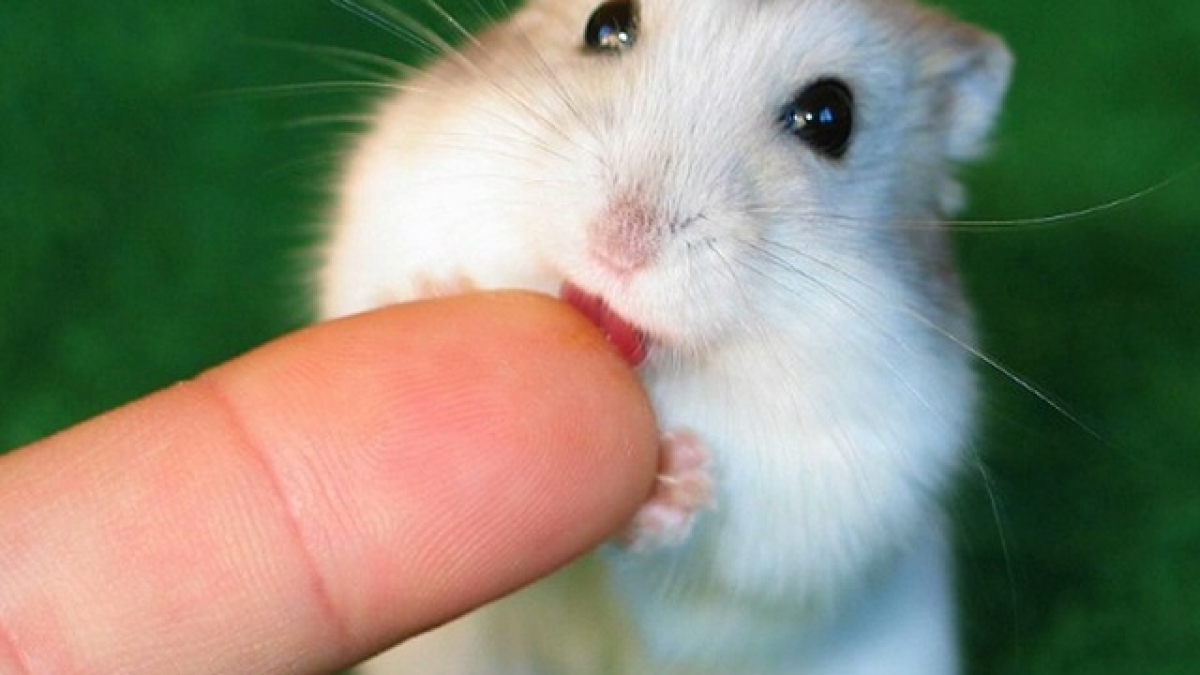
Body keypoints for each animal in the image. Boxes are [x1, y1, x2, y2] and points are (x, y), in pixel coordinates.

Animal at [319, 0, 1012, 673]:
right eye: (605, 25)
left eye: (829, 118)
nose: (618, 245)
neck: (661, 370)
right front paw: (432, 293)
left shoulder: (832, 514)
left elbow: (699, 580)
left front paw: (676, 478)